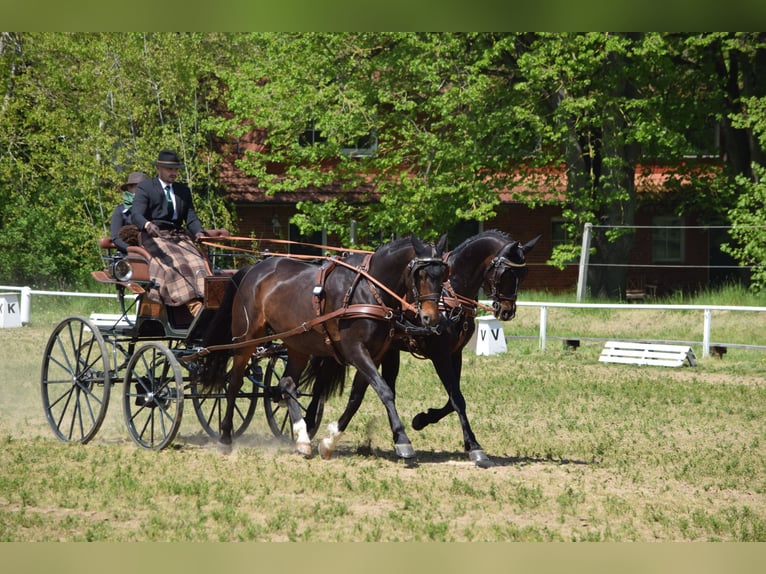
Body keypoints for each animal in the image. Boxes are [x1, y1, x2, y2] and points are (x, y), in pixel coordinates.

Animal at [198, 236, 450, 462]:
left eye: (443, 275)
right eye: (421, 274)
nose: (432, 318)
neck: (369, 291)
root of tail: (254, 269)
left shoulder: (375, 355)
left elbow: (356, 398)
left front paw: (329, 442)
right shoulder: (355, 350)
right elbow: (385, 391)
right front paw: (403, 441)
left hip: (296, 344)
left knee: (287, 383)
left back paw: (302, 439)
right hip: (247, 338)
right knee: (234, 384)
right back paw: (225, 438)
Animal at [312, 232, 540, 470]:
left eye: (523, 273)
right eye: (506, 272)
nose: (507, 311)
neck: (451, 293)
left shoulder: (454, 354)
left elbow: (453, 399)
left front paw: (424, 419)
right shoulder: (439, 354)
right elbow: (457, 399)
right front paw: (475, 448)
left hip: (384, 352)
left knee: (364, 392)